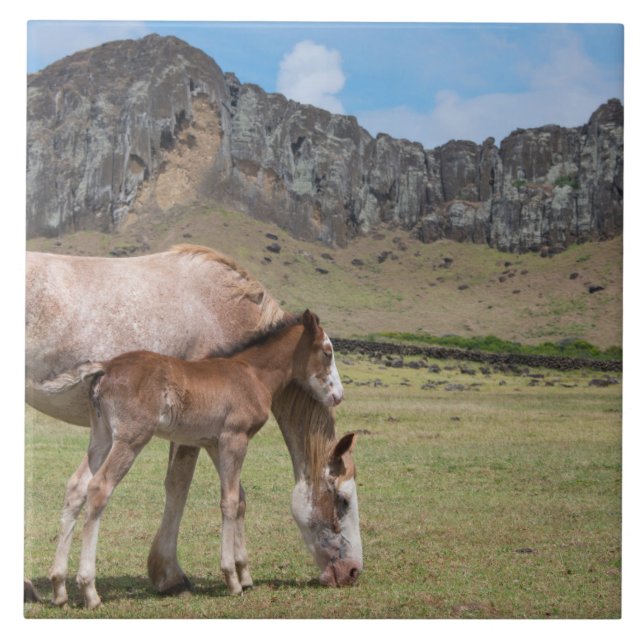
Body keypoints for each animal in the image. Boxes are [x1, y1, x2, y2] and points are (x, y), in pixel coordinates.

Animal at [25, 244, 363, 600]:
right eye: (342, 500)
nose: (352, 572)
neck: (249, 370)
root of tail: (105, 367)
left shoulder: (215, 441)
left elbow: (237, 498)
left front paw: (243, 573)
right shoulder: (227, 439)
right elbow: (196, 491)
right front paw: (188, 576)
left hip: (102, 437)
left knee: (77, 488)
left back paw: (59, 587)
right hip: (130, 440)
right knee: (99, 489)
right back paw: (87, 590)